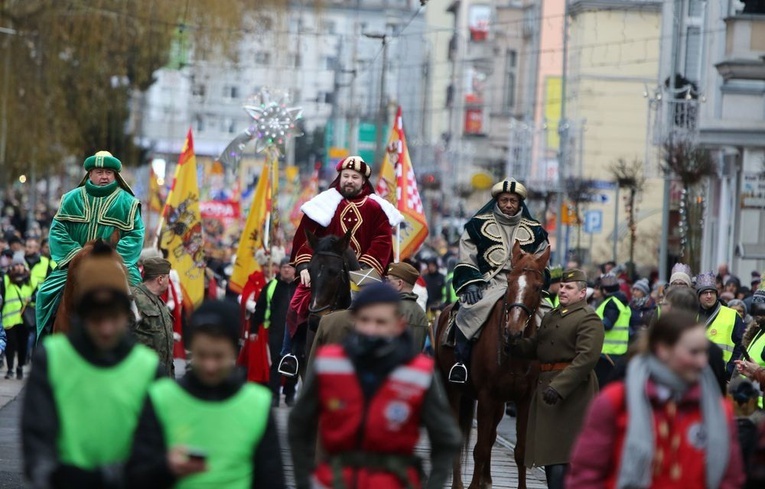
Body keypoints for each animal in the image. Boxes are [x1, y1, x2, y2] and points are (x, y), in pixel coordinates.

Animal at [436, 240, 548, 488]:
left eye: (537, 287)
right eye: (510, 282)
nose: (514, 331)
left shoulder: (524, 400)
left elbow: (520, 451)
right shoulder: (486, 396)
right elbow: (480, 448)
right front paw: (472, 486)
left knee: (492, 435)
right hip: (453, 391)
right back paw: (458, 483)